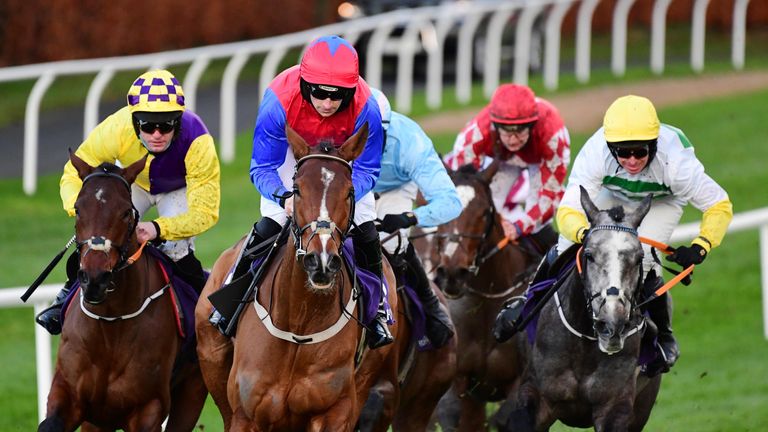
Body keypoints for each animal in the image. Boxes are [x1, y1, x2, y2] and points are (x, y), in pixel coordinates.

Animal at [38, 154, 207, 430]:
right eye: (78, 209)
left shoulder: (148, 408)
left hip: (192, 391)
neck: (111, 321)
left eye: (126, 212)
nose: (95, 279)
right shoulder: (67, 396)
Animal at [426, 162, 540, 432]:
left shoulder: (519, 381)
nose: (453, 273)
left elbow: (505, 419)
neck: (486, 306)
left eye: (484, 213)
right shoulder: (460, 381)